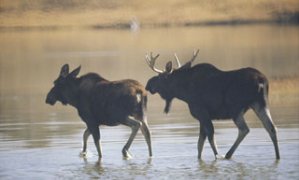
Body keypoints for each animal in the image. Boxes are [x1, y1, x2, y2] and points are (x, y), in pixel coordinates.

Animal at [145, 50, 282, 160]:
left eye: (160, 76)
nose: (148, 84)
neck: (183, 92)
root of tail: (262, 81)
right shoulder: (201, 118)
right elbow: (200, 144)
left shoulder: (202, 113)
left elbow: (210, 138)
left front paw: (217, 157)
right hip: (260, 103)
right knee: (271, 128)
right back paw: (278, 156)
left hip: (235, 108)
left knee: (244, 129)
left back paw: (227, 154)